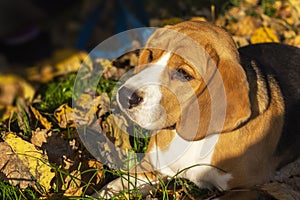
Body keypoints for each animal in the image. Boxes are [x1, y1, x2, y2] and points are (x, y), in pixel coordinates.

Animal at [99, 21, 300, 198]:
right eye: (150, 55)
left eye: (183, 73)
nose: (125, 95)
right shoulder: (150, 168)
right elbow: (111, 187)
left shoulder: (248, 189)